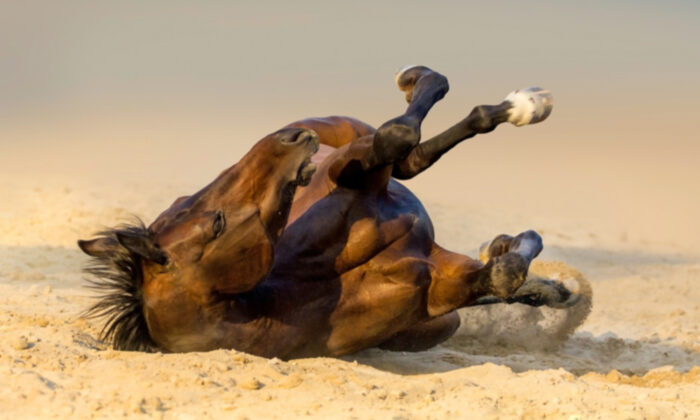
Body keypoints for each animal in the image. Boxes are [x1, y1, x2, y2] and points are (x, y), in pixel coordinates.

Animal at [78, 65, 577, 358]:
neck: (298, 288)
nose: (289, 139)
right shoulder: (437, 287)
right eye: (216, 223)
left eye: (184, 203)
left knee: (414, 154)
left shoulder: (349, 169)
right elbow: (502, 274)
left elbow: (396, 138)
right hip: (440, 321)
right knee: (411, 151)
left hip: (351, 136)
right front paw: (519, 257)